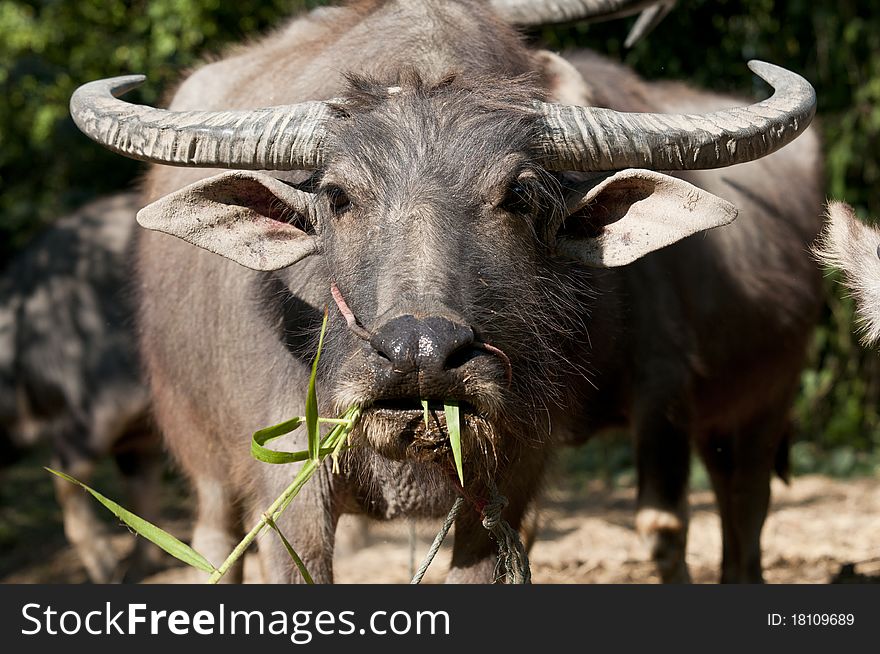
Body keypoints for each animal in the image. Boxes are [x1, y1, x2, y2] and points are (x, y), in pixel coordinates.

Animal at [0, 195, 163, 584]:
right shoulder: (135, 434)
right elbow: (140, 489)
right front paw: (143, 565)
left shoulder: (99, 412)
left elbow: (68, 477)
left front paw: (106, 566)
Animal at [69, 0, 820, 584]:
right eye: (337, 197)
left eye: (520, 196)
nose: (421, 353)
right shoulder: (289, 489)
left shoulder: (519, 474)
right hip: (203, 456)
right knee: (214, 543)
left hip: (764, 399)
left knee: (743, 497)